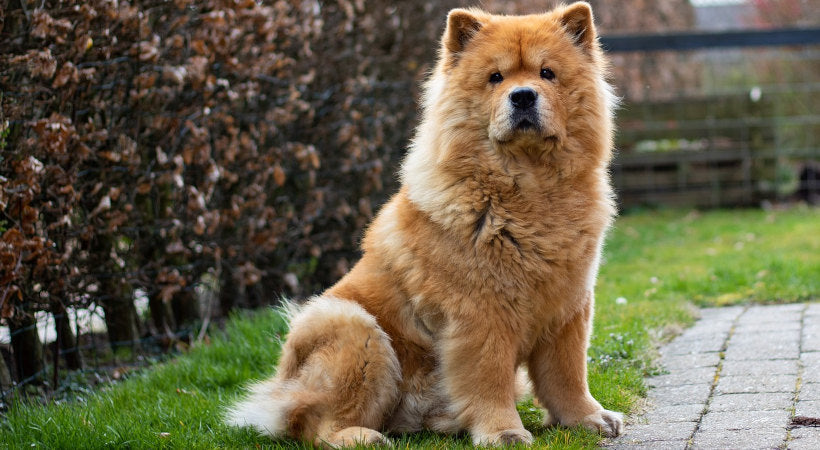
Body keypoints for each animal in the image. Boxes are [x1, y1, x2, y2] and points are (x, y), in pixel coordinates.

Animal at [224, 1, 620, 446]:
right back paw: (362, 437)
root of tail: (279, 389)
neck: (530, 188)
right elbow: (490, 378)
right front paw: (503, 432)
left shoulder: (569, 306)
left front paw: (588, 418)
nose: (522, 96)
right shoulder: (481, 314)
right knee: (315, 424)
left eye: (547, 73)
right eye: (496, 78)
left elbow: (567, 375)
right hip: (355, 330)